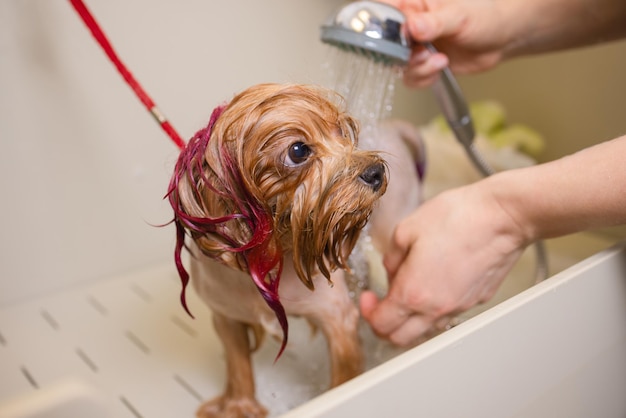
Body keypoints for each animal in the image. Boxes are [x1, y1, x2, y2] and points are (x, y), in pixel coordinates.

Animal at [166, 83, 422, 416]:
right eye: (298, 151)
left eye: (342, 132)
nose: (376, 171)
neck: (264, 261)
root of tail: (392, 126)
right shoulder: (226, 318)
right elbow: (238, 367)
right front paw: (239, 406)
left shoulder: (336, 318)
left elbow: (344, 378)